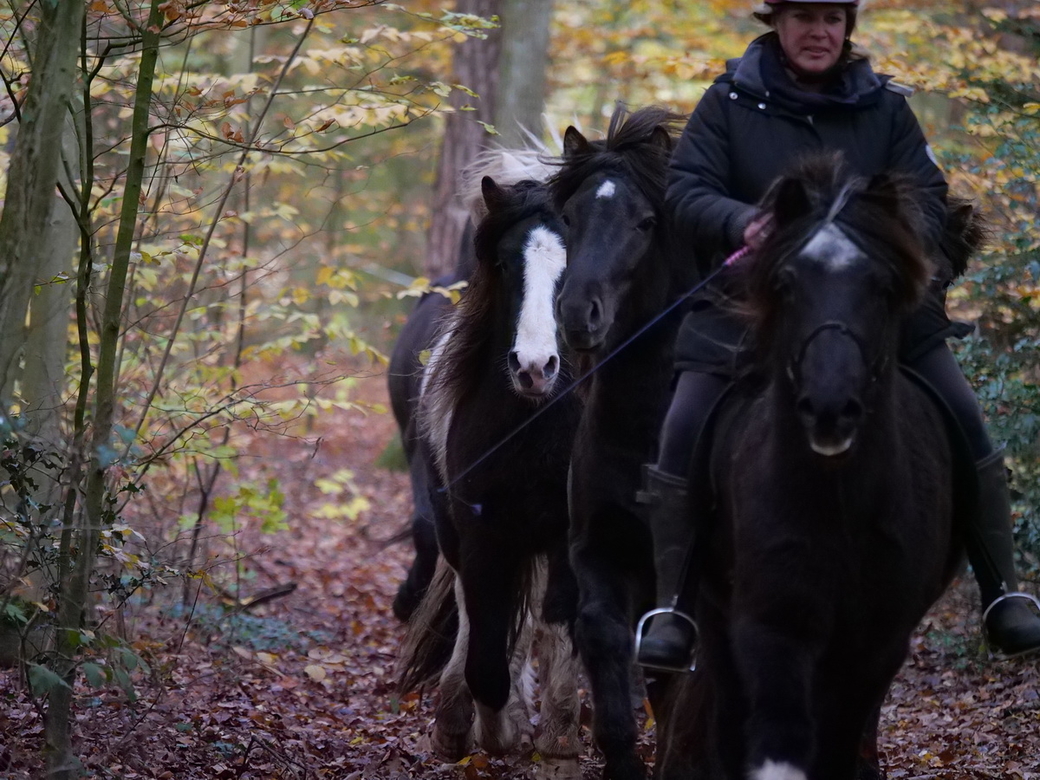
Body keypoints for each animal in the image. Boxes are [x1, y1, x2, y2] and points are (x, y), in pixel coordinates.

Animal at [397, 172, 586, 780]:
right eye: (503, 262)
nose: (534, 367)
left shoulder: (566, 536)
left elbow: (558, 626)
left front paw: (557, 737)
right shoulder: (482, 532)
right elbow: (484, 643)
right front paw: (494, 728)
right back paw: (460, 721)